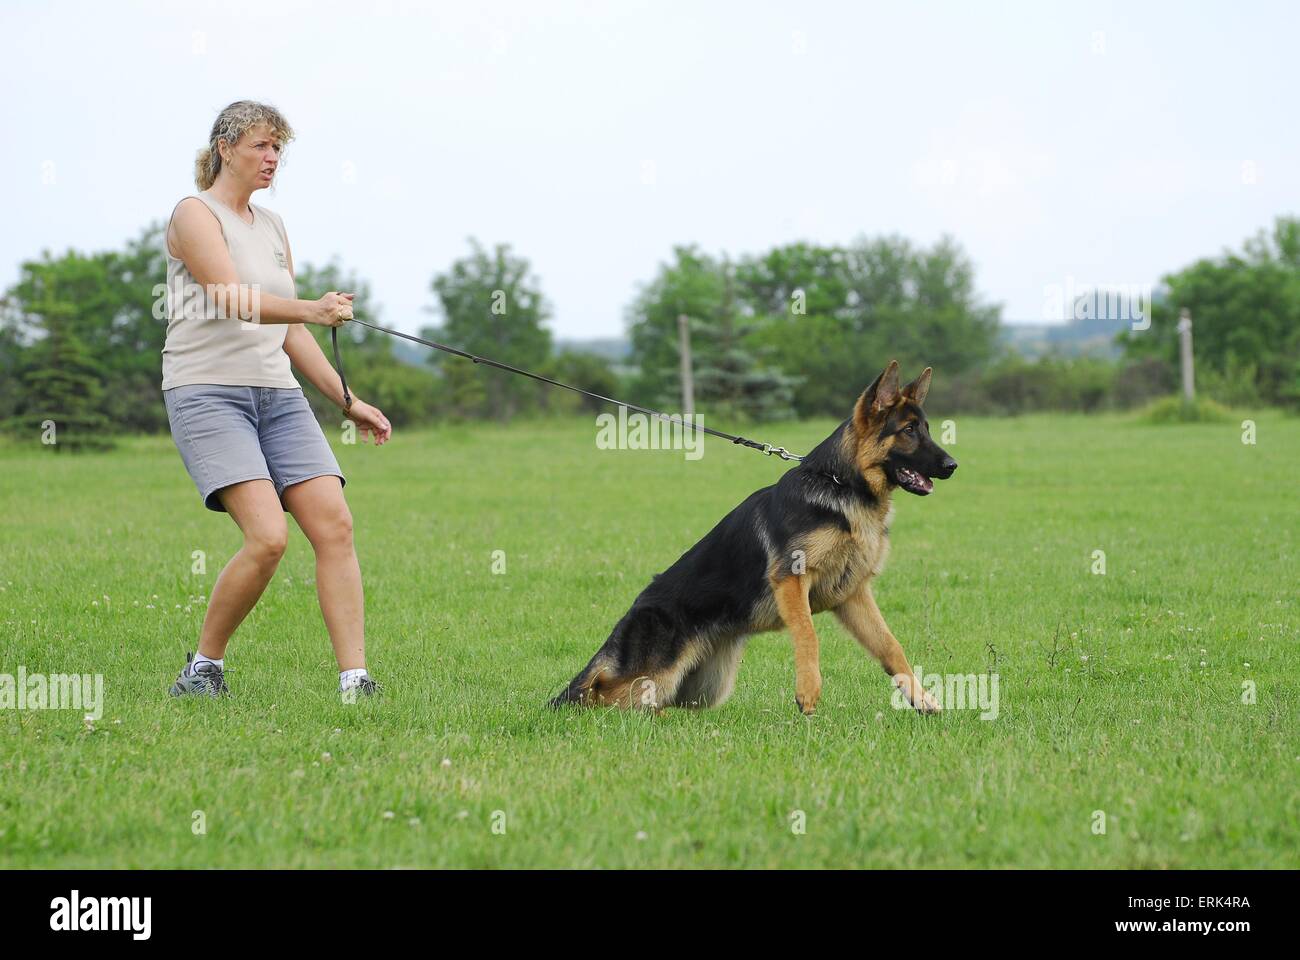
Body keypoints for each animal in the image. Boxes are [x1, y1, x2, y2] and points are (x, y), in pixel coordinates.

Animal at [548, 361, 956, 712]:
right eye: (908, 430)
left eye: (927, 428)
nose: (953, 465)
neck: (842, 484)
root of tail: (629, 617)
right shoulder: (792, 580)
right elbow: (808, 635)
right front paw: (808, 692)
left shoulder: (853, 594)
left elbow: (890, 646)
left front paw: (921, 698)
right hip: (656, 673)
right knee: (598, 696)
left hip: (707, 685)